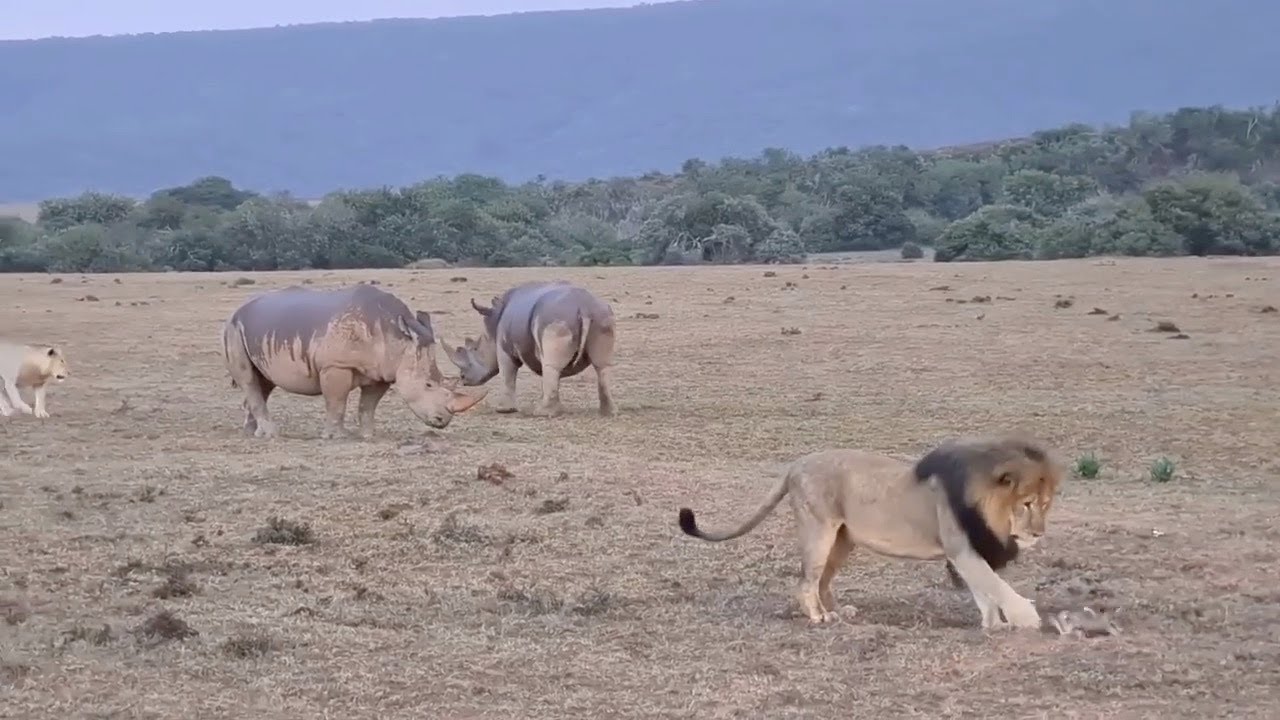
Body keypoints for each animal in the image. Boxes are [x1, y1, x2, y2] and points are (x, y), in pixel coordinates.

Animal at [221, 284, 487, 439]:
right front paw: (336, 437)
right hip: (233, 328)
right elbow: (337, 402)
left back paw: (252, 433)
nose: (442, 421)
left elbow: (368, 406)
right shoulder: (336, 365)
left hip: (259, 330)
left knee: (263, 381)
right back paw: (271, 434)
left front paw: (369, 436)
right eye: (428, 385)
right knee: (249, 378)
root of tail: (238, 309)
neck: (399, 340)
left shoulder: (382, 372)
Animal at [440, 280, 617, 417]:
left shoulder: (504, 349)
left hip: (555, 318)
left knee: (551, 366)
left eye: (475, 349)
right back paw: (607, 412)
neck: (492, 327)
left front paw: (504, 410)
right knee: (602, 365)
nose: (463, 379)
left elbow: (507, 374)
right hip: (602, 317)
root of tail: (584, 307)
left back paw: (541, 413)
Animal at [676, 434, 1064, 630]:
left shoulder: (970, 551)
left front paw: (991, 624)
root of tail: (795, 464)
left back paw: (838, 611)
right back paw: (818, 617)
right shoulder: (961, 549)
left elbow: (986, 591)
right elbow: (996, 586)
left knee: (823, 581)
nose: (1038, 534)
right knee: (806, 582)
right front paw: (1026, 618)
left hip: (843, 540)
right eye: (1027, 504)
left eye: (1046, 504)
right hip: (819, 530)